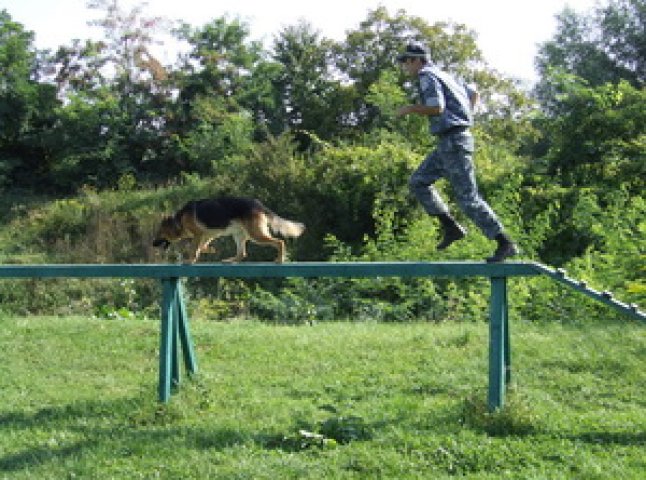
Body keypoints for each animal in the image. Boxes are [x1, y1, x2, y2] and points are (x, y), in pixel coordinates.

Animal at [153, 197, 306, 264]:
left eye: (159, 233)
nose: (152, 244)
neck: (178, 221)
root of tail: (259, 205)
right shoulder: (209, 234)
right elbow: (202, 246)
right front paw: (209, 250)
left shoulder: (199, 234)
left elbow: (193, 248)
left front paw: (191, 259)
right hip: (238, 235)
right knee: (242, 253)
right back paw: (231, 260)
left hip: (256, 235)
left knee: (279, 242)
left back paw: (279, 259)